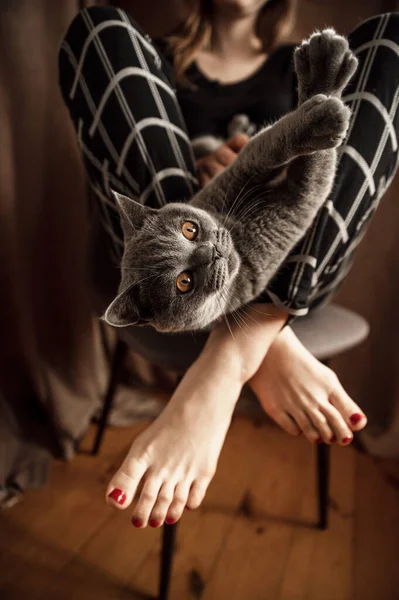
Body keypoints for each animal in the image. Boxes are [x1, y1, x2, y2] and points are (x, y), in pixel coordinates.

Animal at [104, 29, 358, 332]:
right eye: (184, 282)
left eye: (189, 229)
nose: (212, 252)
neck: (238, 229)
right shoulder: (297, 205)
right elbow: (313, 165)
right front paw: (325, 111)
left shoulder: (239, 169)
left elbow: (270, 142)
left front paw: (325, 63)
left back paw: (241, 124)